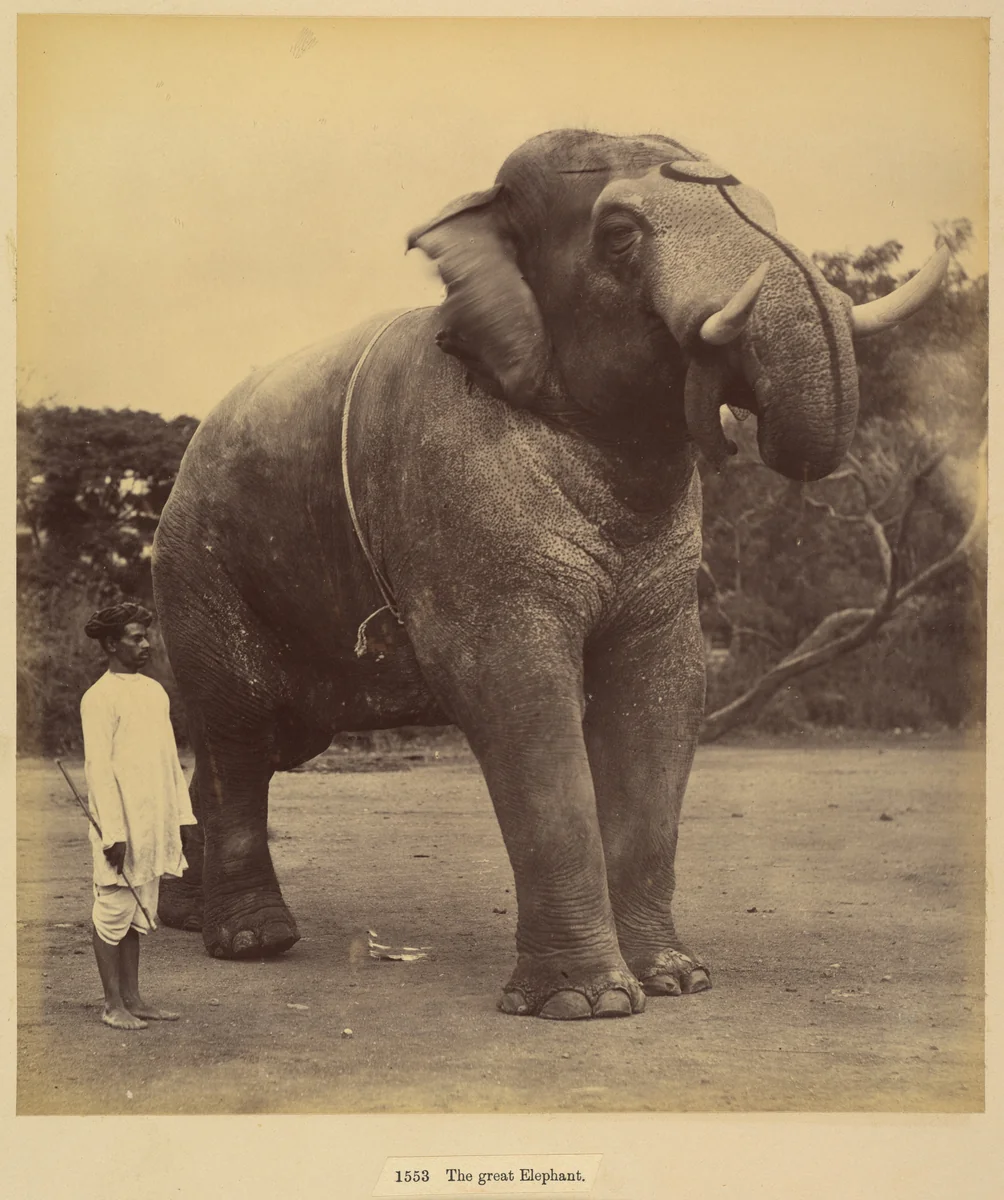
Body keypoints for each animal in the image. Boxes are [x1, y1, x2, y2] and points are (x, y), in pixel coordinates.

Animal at [152, 128, 947, 1019]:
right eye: (622, 235)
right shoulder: (457, 496)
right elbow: (514, 688)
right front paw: (587, 1005)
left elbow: (664, 691)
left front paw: (676, 980)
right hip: (198, 568)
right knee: (240, 729)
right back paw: (253, 942)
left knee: (252, 743)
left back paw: (188, 913)